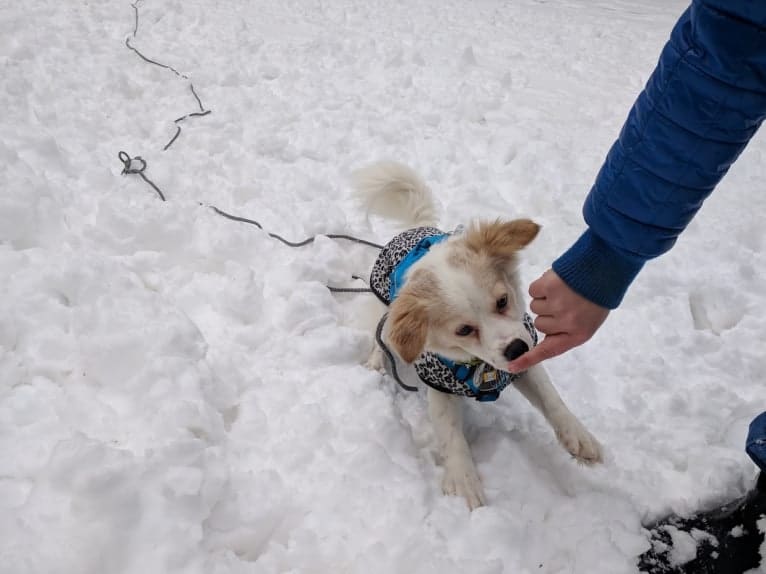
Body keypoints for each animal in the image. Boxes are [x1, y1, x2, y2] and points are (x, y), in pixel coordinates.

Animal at [354, 161, 608, 508]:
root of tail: (417, 227)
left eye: (502, 301)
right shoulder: (439, 384)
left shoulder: (524, 359)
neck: (479, 365)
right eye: (463, 330)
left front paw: (578, 436)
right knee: (381, 336)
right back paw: (377, 360)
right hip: (384, 308)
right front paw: (464, 482)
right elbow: (450, 434)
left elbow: (551, 398)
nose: (516, 349)